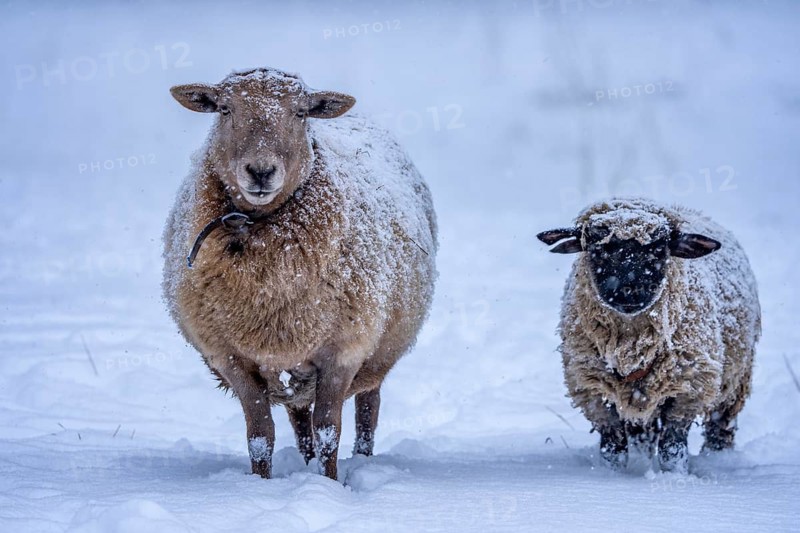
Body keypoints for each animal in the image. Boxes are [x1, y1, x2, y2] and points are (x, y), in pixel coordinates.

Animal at [162, 67, 438, 480]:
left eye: (301, 112)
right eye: (225, 109)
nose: (261, 171)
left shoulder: (344, 349)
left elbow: (328, 431)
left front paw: (328, 484)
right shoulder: (230, 356)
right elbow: (261, 433)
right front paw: (260, 482)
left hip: (376, 348)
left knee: (367, 409)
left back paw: (362, 459)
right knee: (297, 417)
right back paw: (304, 460)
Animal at [537, 198, 760, 473]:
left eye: (658, 250)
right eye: (599, 251)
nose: (627, 291)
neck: (630, 343)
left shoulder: (688, 389)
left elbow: (672, 450)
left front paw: (675, 476)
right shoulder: (593, 392)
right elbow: (613, 449)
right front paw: (611, 475)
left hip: (736, 378)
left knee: (722, 423)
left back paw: (718, 458)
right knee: (643, 433)